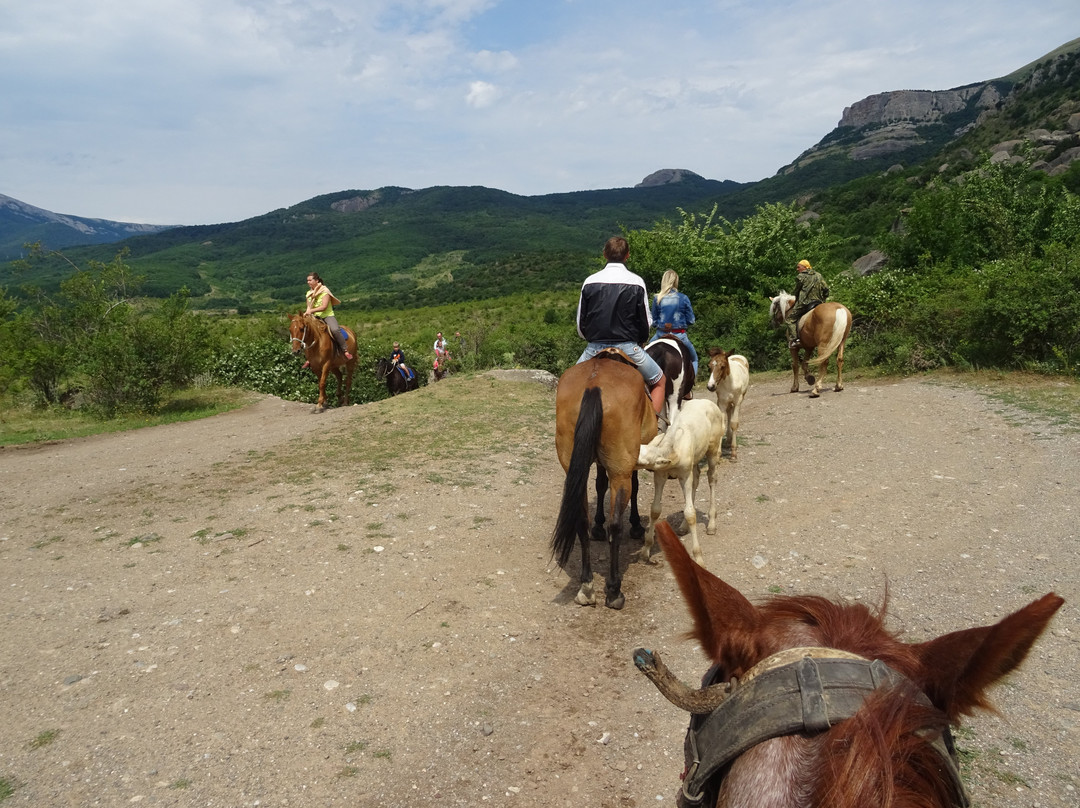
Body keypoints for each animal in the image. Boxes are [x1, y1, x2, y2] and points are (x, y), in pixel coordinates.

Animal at [557, 349, 656, 609]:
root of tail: (594, 385)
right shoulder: (629, 465)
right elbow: (635, 488)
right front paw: (636, 525)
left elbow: (600, 486)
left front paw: (597, 526)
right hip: (621, 471)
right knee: (616, 524)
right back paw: (613, 590)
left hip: (575, 469)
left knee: (581, 520)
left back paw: (586, 587)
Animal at [630, 395, 725, 561]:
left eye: (639, 460)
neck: (674, 448)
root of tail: (709, 402)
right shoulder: (660, 475)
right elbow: (655, 510)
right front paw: (646, 550)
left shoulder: (684, 474)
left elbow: (690, 513)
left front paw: (698, 558)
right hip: (695, 459)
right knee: (696, 478)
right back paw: (683, 527)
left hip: (712, 450)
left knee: (712, 478)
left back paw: (712, 524)